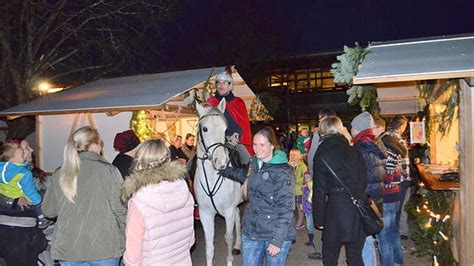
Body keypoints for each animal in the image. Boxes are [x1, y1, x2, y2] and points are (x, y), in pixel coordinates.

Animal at [193, 99, 243, 266]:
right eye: (205, 129)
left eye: (225, 129)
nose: (221, 162)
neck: (213, 176)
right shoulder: (205, 214)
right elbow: (209, 246)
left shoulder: (228, 211)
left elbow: (228, 237)